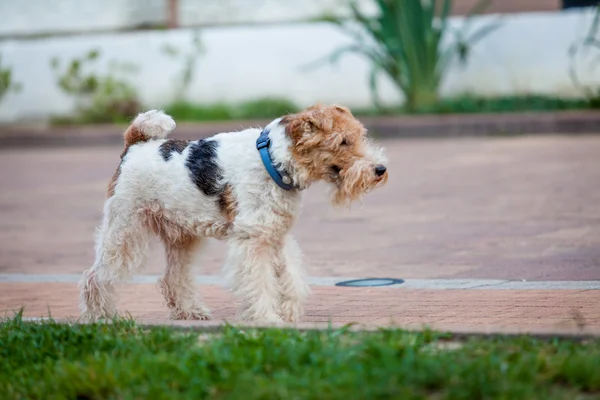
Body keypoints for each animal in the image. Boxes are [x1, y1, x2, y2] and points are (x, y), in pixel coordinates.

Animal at [79, 103, 386, 322]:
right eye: (343, 141)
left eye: (359, 136)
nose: (380, 170)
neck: (273, 161)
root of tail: (134, 145)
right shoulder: (253, 240)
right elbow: (259, 281)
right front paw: (268, 319)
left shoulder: (276, 235)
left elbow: (290, 277)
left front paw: (288, 312)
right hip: (125, 230)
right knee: (95, 276)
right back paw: (100, 316)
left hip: (182, 237)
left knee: (173, 278)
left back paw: (191, 312)